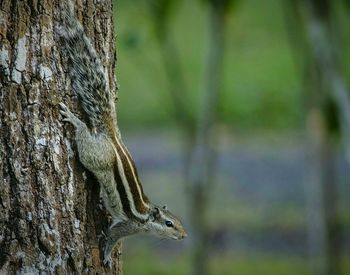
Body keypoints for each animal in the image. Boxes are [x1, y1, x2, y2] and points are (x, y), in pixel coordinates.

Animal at [57, 0, 187, 268]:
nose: (184, 235)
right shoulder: (126, 226)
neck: (146, 218)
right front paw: (106, 256)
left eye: (177, 220)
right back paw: (75, 120)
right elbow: (112, 237)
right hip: (95, 155)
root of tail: (114, 139)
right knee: (84, 136)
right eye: (169, 223)